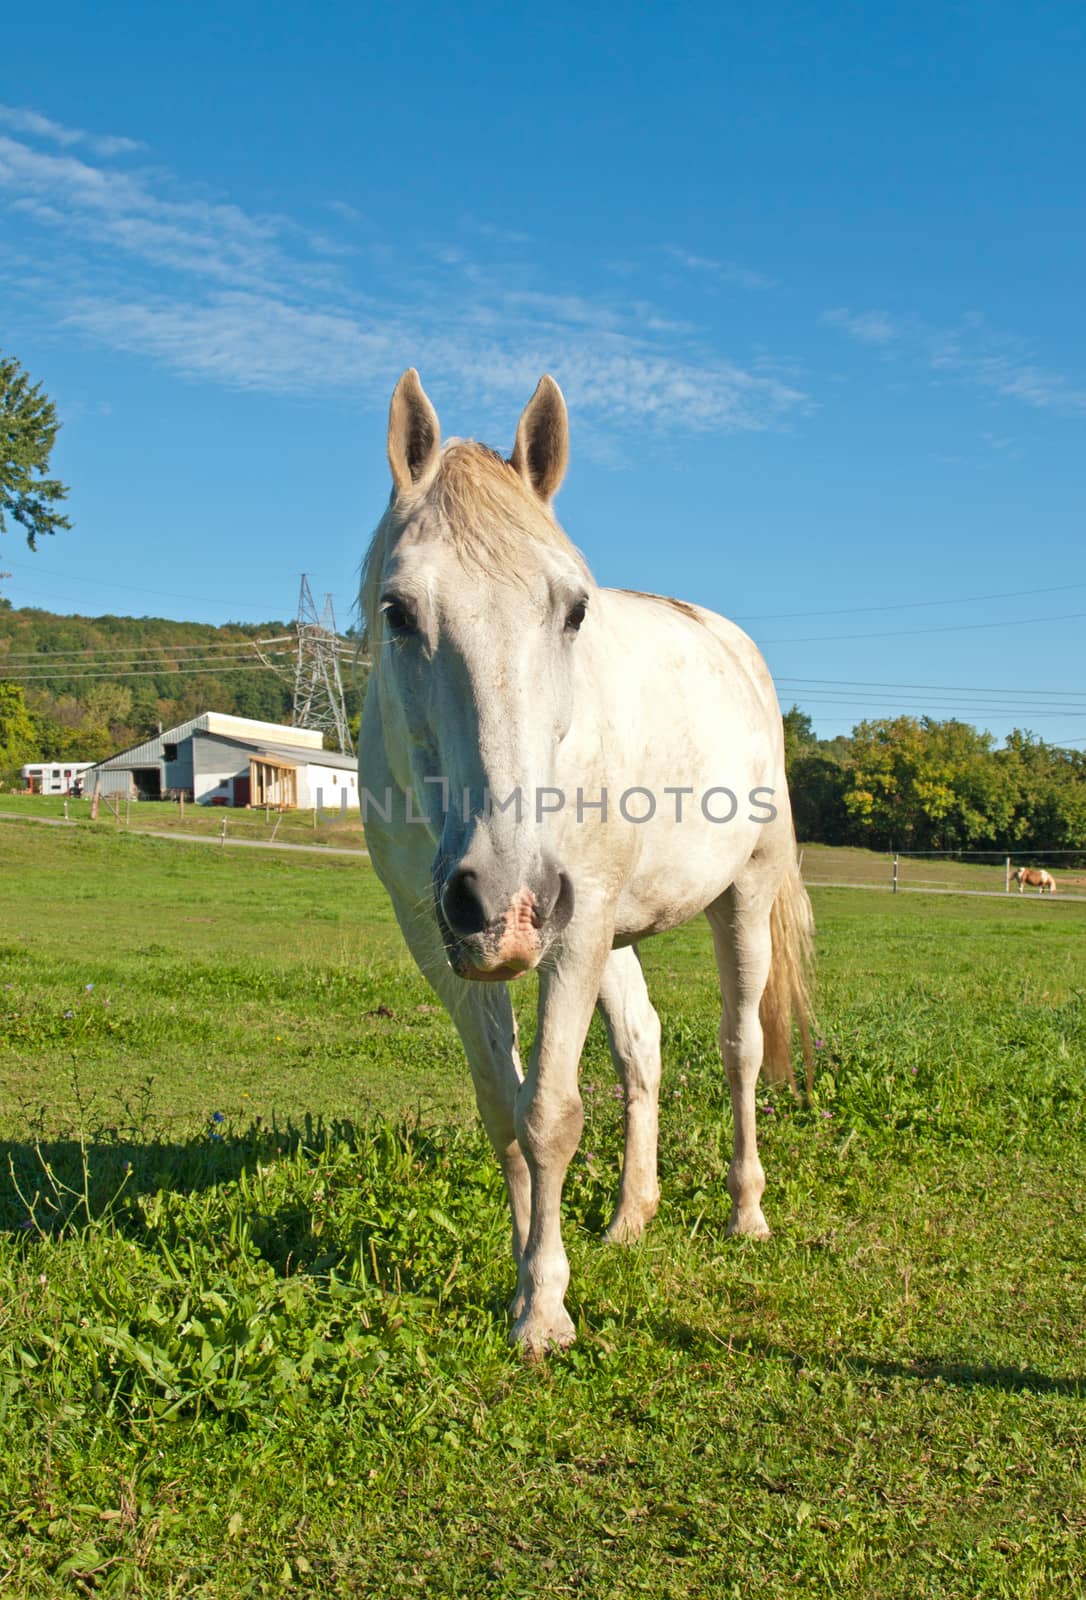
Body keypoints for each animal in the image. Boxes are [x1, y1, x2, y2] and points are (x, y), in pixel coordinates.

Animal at [361, 368, 812, 1356]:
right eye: (397, 611)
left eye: (572, 609)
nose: (503, 896)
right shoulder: (439, 939)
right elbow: (505, 1109)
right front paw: (527, 1275)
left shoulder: (570, 933)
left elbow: (552, 1117)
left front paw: (546, 1308)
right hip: (604, 929)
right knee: (643, 1047)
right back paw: (631, 1218)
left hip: (731, 896)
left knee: (741, 1048)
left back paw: (747, 1213)